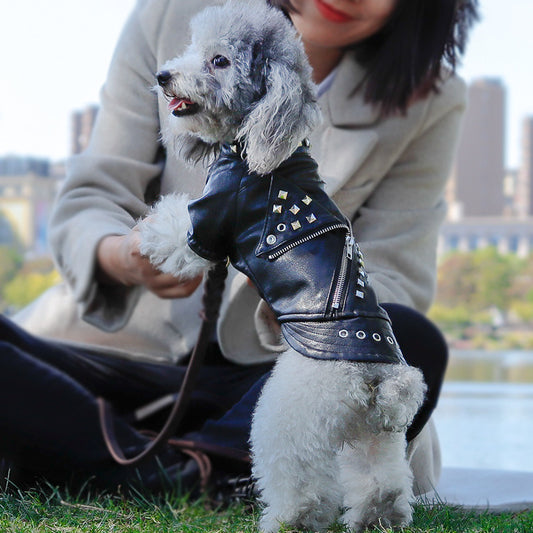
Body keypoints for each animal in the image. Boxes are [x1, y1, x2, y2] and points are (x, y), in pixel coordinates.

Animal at [139, 2, 426, 528]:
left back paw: (287, 520)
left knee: (300, 482)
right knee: (383, 479)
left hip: (286, 418)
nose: (163, 76)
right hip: (373, 432)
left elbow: (180, 231)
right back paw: (377, 517)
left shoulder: (213, 218)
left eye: (219, 61)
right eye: (192, 47)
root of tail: (379, 381)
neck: (256, 138)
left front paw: (149, 230)